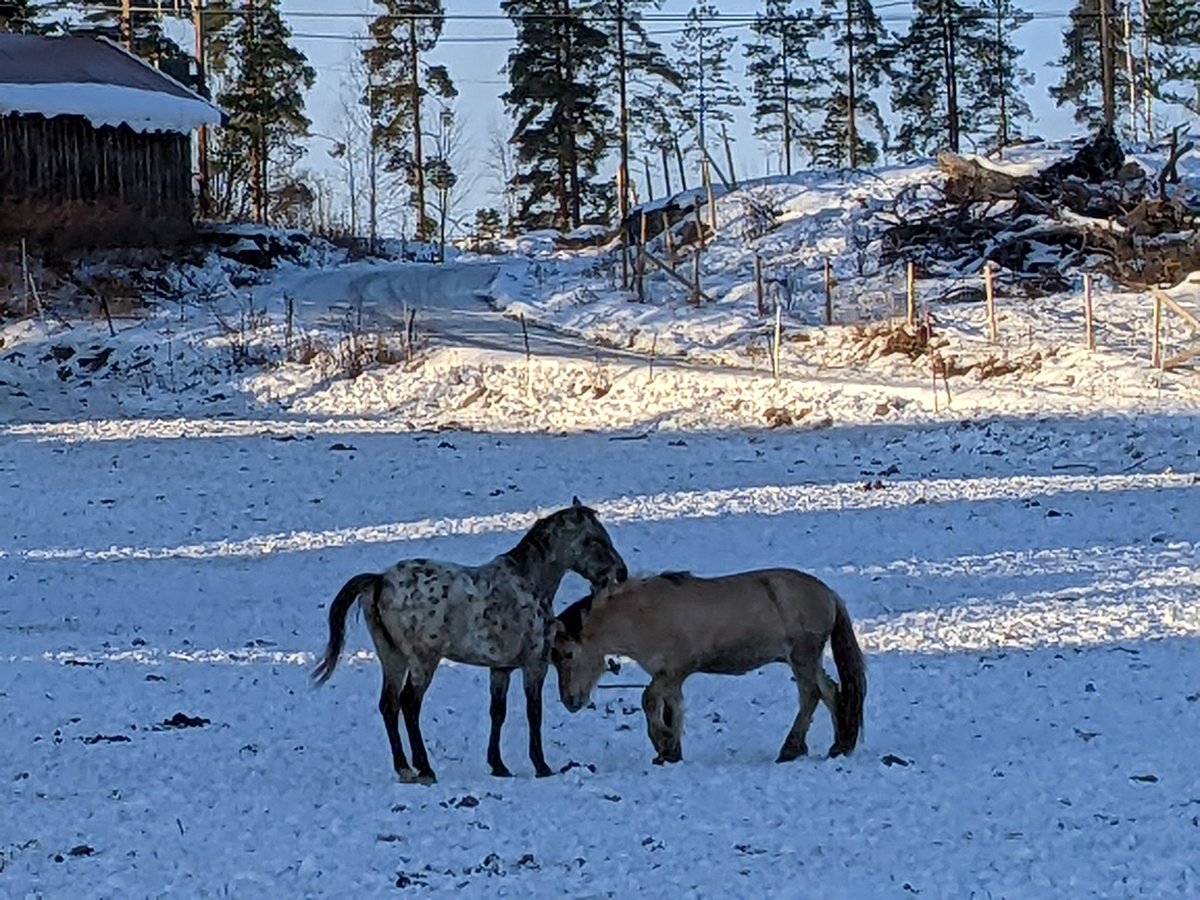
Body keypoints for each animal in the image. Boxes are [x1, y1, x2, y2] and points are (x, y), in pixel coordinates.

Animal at [312, 498, 628, 784]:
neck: (528, 584)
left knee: (389, 705)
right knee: (409, 704)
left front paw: (498, 766)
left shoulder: (500, 669)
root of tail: (381, 581)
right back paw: (425, 769)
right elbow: (534, 712)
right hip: (423, 661)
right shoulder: (534, 665)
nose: (622, 573)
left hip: (393, 658)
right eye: (594, 540)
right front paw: (542, 766)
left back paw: (405, 769)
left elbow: (497, 713)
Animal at [551, 569, 866, 766]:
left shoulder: (672, 672)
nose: (569, 701)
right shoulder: (671, 678)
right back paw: (839, 746)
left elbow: (649, 700)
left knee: (811, 695)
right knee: (831, 691)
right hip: (806, 660)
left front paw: (663, 742)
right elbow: (672, 709)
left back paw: (791, 749)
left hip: (802, 657)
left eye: (567, 654)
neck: (645, 614)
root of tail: (828, 593)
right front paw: (670, 753)